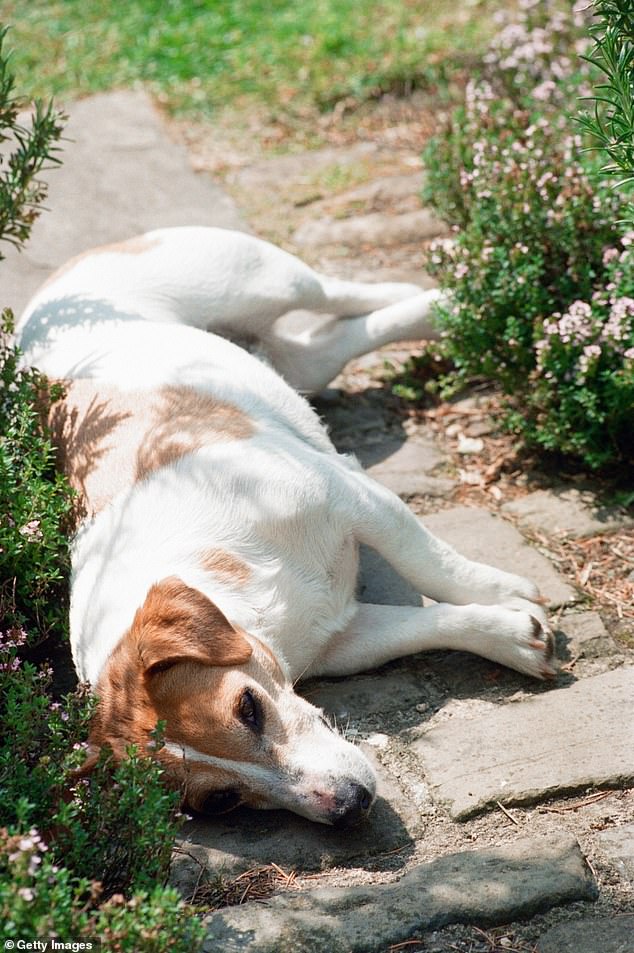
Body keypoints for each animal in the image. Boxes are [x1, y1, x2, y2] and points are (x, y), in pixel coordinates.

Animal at [16, 227, 552, 828]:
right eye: (221, 800)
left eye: (247, 707)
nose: (349, 805)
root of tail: (53, 293)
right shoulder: (345, 640)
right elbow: (425, 628)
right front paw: (515, 637)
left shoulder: (354, 497)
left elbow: (431, 564)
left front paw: (506, 590)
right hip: (298, 360)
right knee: (336, 341)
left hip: (265, 280)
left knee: (346, 295)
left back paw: (446, 295)